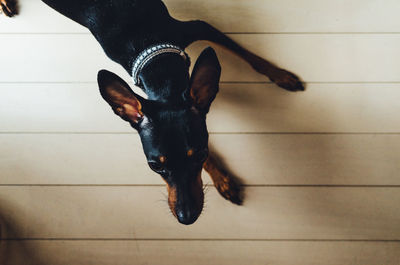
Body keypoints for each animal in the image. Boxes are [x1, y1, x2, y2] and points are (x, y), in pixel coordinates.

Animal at [2, 0, 304, 225]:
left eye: (199, 154)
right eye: (154, 166)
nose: (186, 217)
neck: (158, 66)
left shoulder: (196, 28)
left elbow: (247, 54)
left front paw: (281, 75)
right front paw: (223, 179)